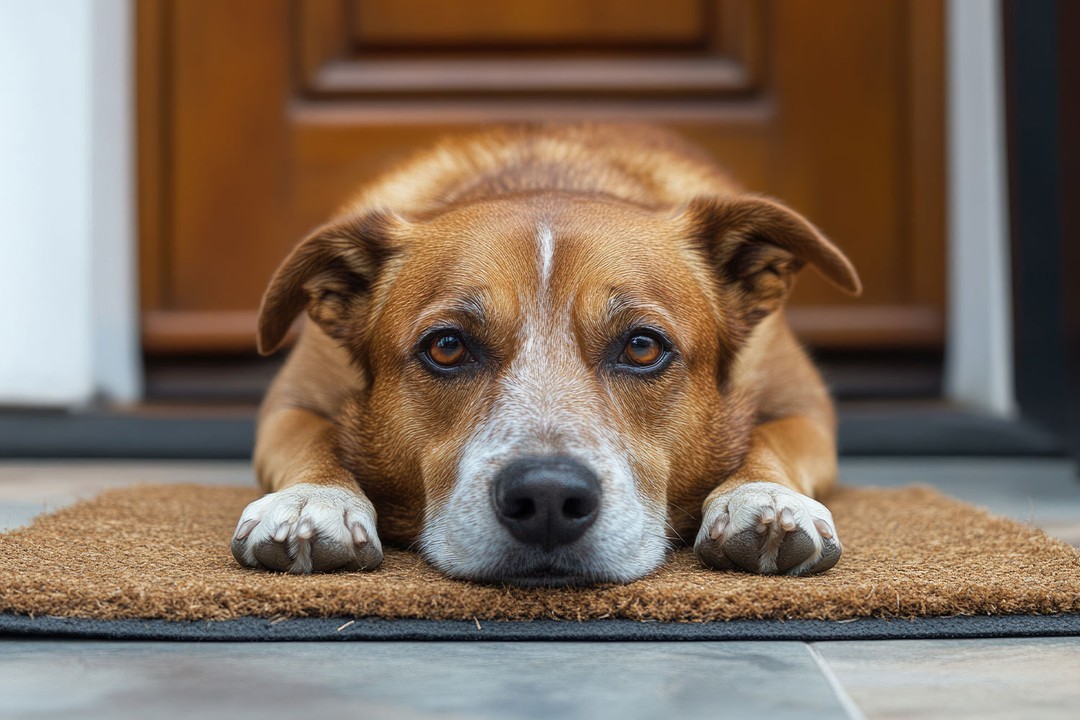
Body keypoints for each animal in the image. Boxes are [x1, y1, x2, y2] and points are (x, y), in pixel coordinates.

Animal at [232, 124, 864, 587]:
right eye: (447, 346)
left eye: (642, 347)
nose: (548, 497)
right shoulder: (288, 402)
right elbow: (313, 434)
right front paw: (312, 500)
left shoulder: (805, 405)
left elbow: (770, 437)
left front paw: (764, 496)